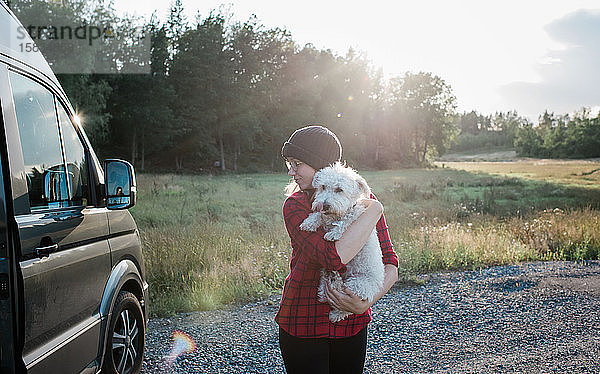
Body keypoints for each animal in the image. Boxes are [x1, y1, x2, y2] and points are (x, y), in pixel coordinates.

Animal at [298, 162, 384, 322]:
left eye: (339, 189)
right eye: (323, 186)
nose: (324, 205)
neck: (335, 215)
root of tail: (377, 285)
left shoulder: (355, 214)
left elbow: (346, 221)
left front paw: (333, 233)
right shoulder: (325, 216)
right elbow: (319, 215)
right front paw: (309, 222)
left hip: (357, 284)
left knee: (345, 305)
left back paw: (335, 310)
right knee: (325, 294)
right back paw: (331, 278)